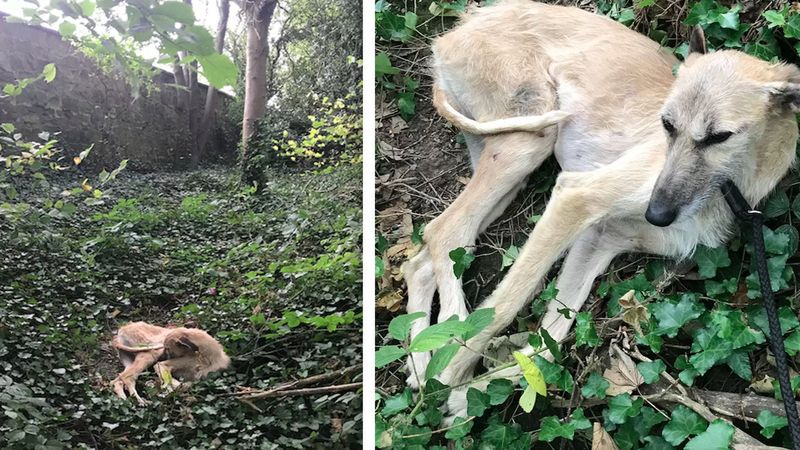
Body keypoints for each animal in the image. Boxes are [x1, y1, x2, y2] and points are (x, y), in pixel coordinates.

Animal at [404, 0, 800, 418]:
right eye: (666, 124)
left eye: (720, 136)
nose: (657, 215)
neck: (729, 187)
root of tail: (457, 29)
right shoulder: (577, 197)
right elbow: (505, 306)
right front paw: (450, 380)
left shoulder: (599, 239)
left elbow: (549, 345)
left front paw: (467, 393)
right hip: (529, 138)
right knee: (446, 232)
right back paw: (444, 350)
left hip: (507, 172)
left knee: (424, 256)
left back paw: (420, 359)